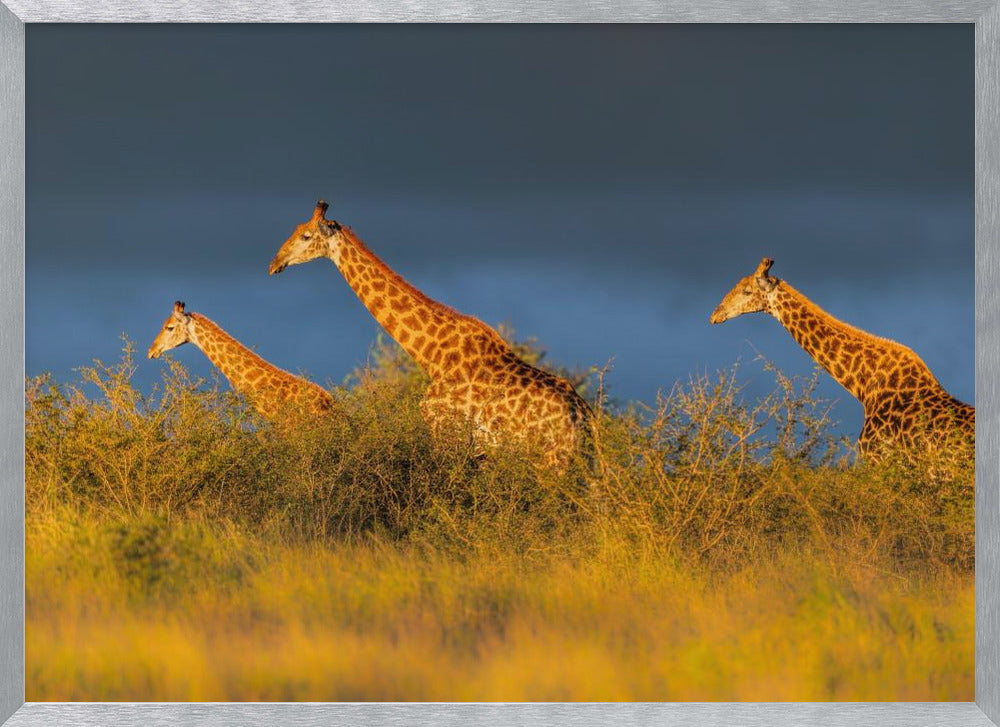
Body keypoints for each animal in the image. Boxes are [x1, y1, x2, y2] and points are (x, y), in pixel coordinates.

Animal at [267, 201, 593, 470]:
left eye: (306, 236)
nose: (274, 264)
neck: (432, 355)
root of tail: (583, 418)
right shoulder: (476, 450)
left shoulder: (446, 433)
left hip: (551, 461)